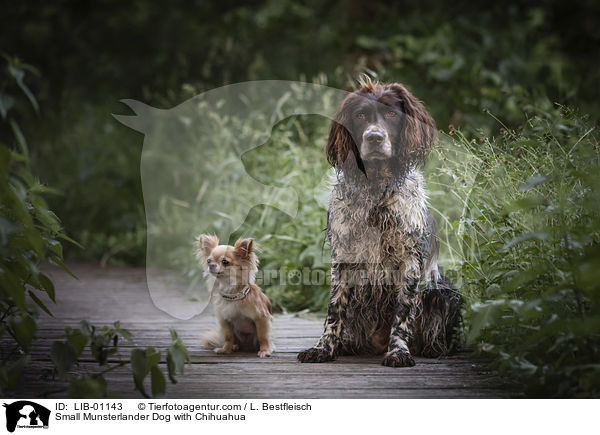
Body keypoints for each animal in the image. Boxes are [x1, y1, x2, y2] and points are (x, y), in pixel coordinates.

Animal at [298, 78, 462, 368]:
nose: (374, 137)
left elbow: (403, 313)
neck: (375, 187)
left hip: (444, 293)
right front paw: (323, 348)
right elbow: (334, 311)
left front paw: (398, 351)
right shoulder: (344, 259)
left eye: (392, 114)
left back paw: (432, 348)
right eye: (360, 115)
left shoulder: (409, 261)